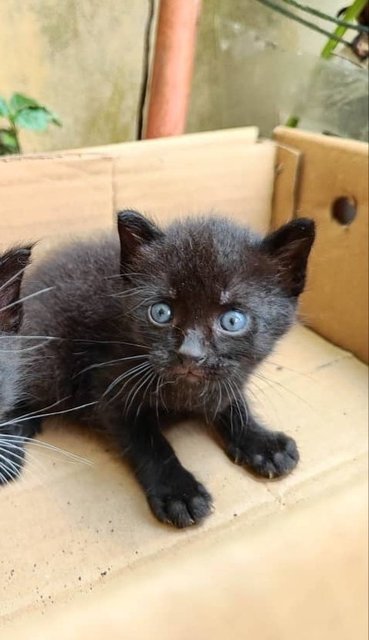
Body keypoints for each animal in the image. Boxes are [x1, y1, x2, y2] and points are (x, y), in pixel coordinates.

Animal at [8, 212, 314, 528]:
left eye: (232, 320)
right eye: (161, 312)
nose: (191, 354)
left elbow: (232, 402)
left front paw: (262, 442)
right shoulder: (107, 383)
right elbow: (148, 441)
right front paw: (178, 491)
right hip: (49, 359)